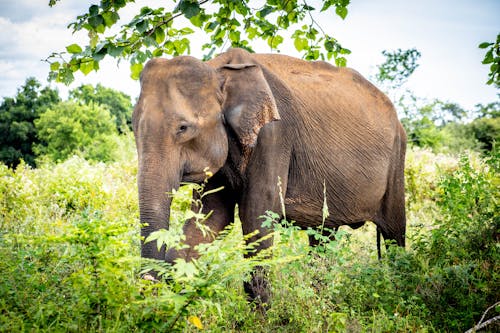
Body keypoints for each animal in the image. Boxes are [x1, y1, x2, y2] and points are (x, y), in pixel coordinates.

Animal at [133, 46, 406, 304]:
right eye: (134, 127)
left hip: (397, 160)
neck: (217, 69)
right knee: (323, 238)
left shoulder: (274, 135)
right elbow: (211, 216)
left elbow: (258, 214)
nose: (148, 287)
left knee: (394, 233)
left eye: (183, 128)